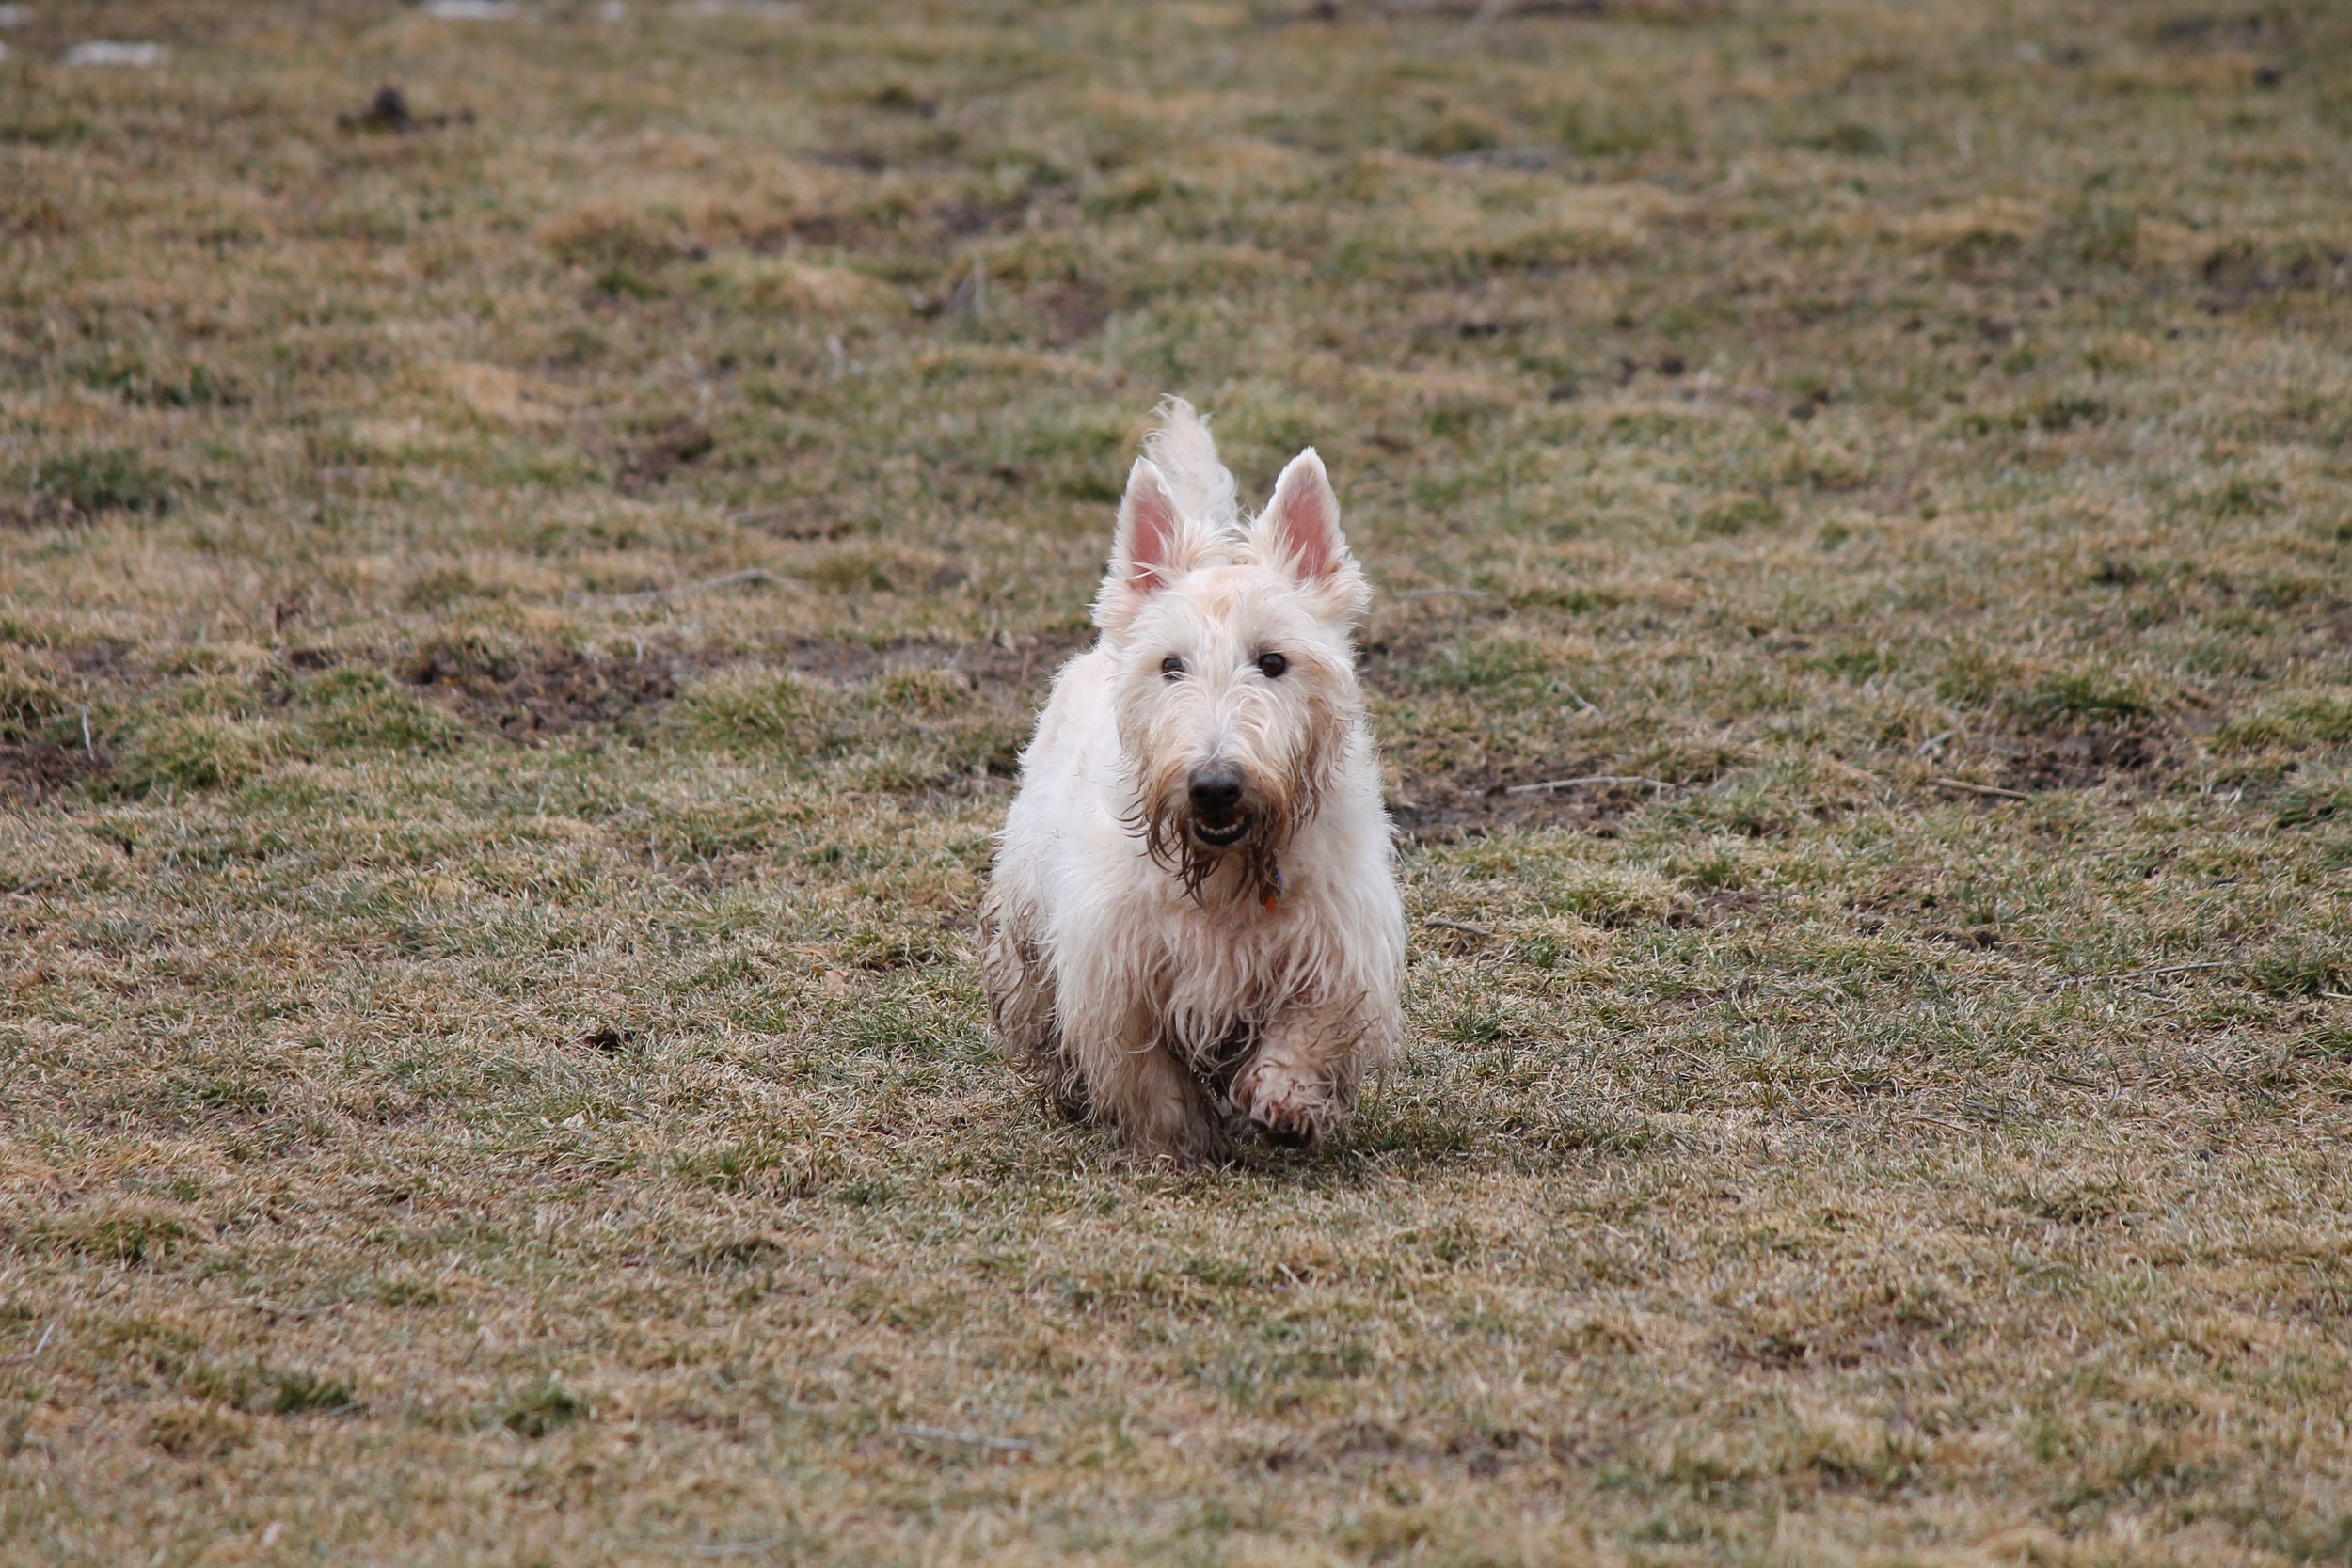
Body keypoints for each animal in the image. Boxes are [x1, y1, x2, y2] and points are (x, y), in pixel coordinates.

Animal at [983, 404, 1402, 1165]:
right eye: (1170, 664)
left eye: (1274, 660)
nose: (1213, 786)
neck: (1225, 871)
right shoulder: (1116, 969)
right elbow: (1149, 1076)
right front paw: (1174, 1148)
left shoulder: (1340, 939)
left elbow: (1313, 1026)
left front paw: (1285, 1100)